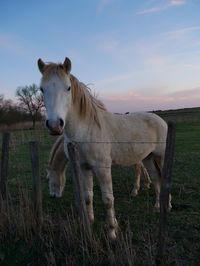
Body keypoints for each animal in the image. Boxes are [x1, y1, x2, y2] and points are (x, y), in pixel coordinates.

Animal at [38, 57, 170, 239]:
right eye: (42, 89)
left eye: (68, 87)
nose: (54, 125)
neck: (86, 130)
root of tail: (160, 120)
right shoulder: (83, 168)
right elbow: (87, 197)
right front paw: (90, 222)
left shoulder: (102, 168)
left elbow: (108, 200)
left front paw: (112, 232)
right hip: (148, 158)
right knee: (156, 179)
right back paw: (157, 207)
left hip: (160, 157)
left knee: (164, 178)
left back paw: (167, 206)